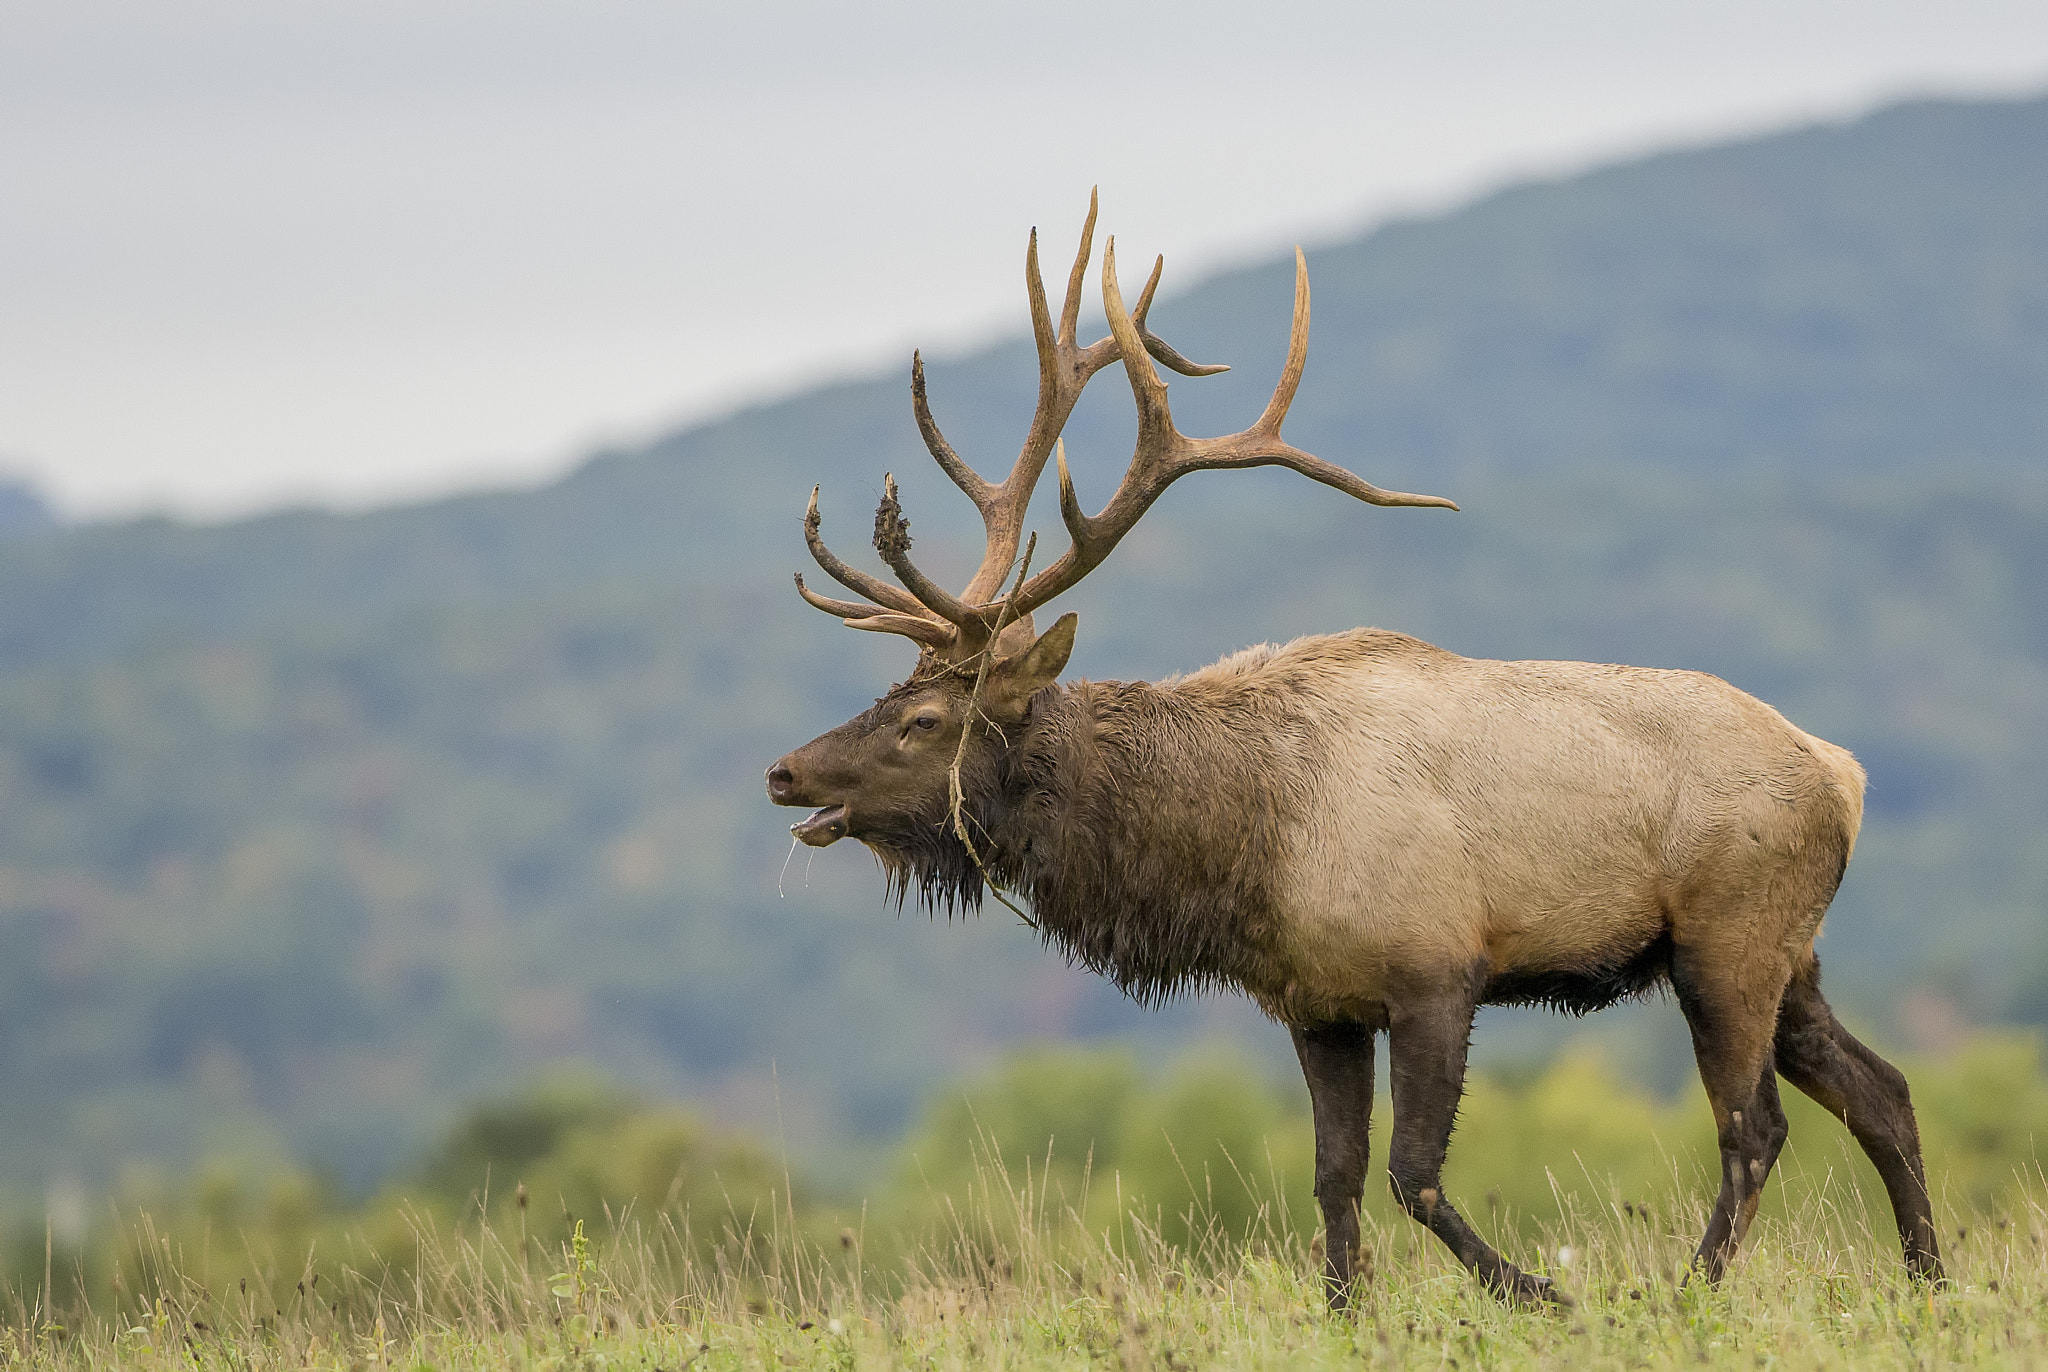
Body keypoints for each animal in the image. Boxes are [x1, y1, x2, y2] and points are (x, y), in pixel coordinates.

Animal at [761, 196, 1941, 1310]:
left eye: (924, 721)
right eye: (889, 695)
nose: (784, 771)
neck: (1240, 843)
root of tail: (1842, 774)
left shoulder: (1437, 969)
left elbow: (1414, 1177)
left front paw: (1543, 1294)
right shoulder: (1317, 1006)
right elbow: (1333, 1180)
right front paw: (1346, 1311)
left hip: (1726, 937)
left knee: (1754, 1128)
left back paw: (1685, 1293)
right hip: (1790, 951)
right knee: (1881, 1090)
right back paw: (1927, 1278)